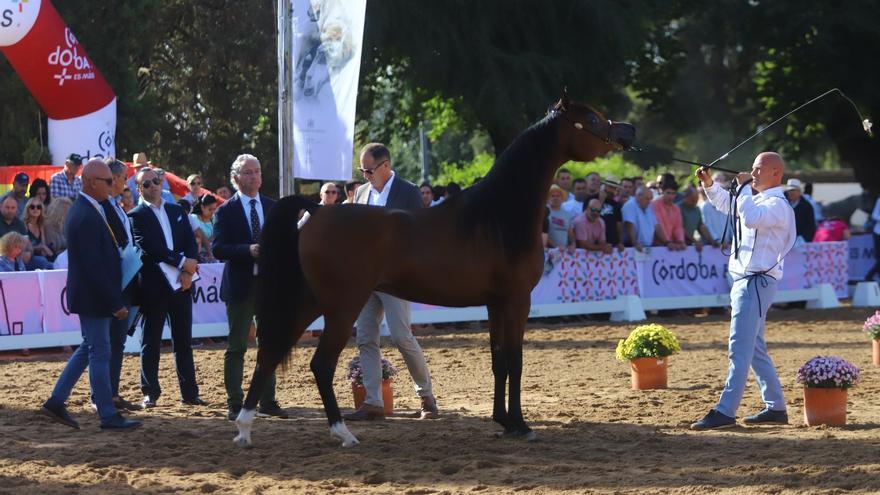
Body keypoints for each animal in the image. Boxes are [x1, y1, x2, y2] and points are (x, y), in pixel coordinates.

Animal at [230, 95, 636, 448]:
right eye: (592, 119)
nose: (627, 131)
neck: (498, 214)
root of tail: (317, 211)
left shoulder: (495, 304)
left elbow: (499, 362)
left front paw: (504, 421)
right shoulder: (516, 301)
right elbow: (516, 362)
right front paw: (521, 425)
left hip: (310, 302)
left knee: (269, 353)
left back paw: (245, 430)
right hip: (342, 306)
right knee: (321, 364)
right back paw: (343, 433)